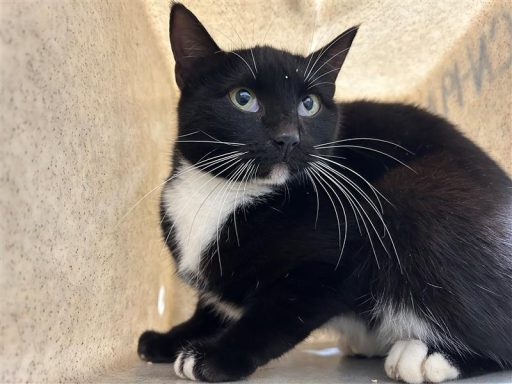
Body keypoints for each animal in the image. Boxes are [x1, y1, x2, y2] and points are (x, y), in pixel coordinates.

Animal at [137, 3, 512, 384]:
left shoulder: (336, 259)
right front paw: (172, 337)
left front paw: (215, 356)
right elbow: (213, 304)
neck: (227, 191)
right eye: (243, 99)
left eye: (309, 104)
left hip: (411, 193)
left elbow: (279, 312)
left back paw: (430, 357)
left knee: (500, 340)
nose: (288, 137)